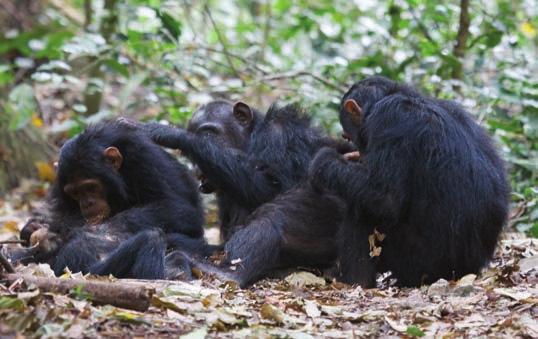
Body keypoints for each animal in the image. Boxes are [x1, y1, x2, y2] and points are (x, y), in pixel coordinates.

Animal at [13, 121, 205, 278]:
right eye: (75, 192)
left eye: (90, 187)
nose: (87, 203)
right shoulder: (61, 181)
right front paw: (34, 228)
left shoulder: (145, 159)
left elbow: (180, 209)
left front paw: (100, 230)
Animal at [134, 102, 352, 286]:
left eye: (209, 134)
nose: (197, 169)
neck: (252, 139)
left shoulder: (281, 136)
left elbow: (275, 186)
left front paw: (171, 133)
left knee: (275, 214)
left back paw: (226, 274)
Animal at [306, 76, 506, 286]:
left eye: (346, 135)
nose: (357, 148)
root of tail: (467, 270)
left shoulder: (387, 118)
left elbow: (385, 197)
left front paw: (324, 161)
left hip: (419, 264)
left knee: (361, 209)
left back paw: (354, 280)